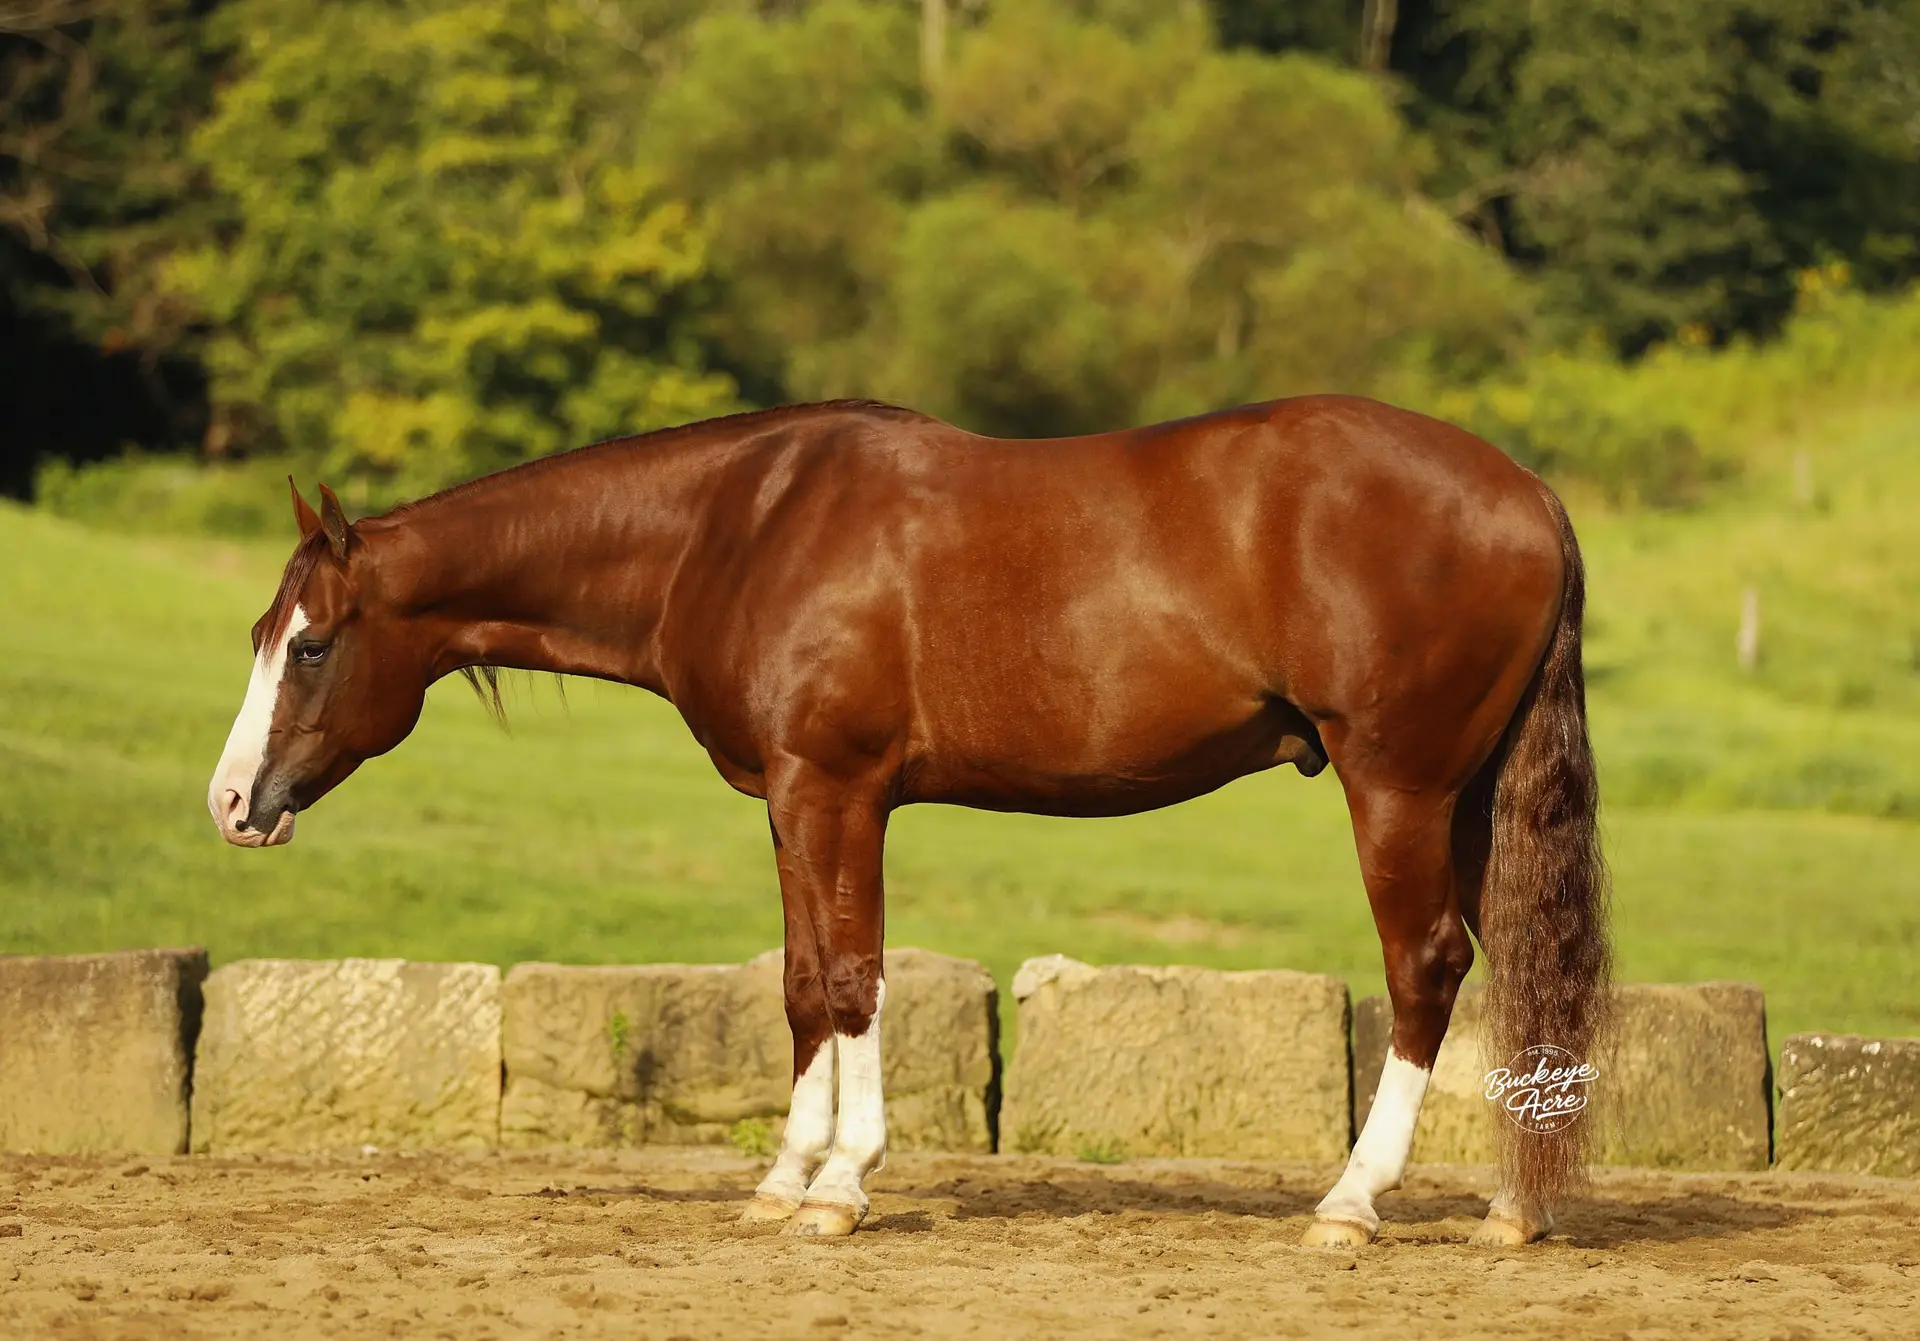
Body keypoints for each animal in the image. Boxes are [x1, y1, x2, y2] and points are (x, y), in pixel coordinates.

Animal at [208, 394, 1610, 1244]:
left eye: (314, 644)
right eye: (262, 632)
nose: (231, 804)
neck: (740, 528)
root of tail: (1530, 493)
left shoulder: (838, 790)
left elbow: (853, 978)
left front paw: (839, 1187)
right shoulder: (788, 802)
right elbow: (799, 982)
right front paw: (782, 1180)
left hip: (1400, 789)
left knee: (1425, 967)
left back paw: (1353, 1201)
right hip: (1469, 800)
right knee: (1512, 968)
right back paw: (1513, 1206)